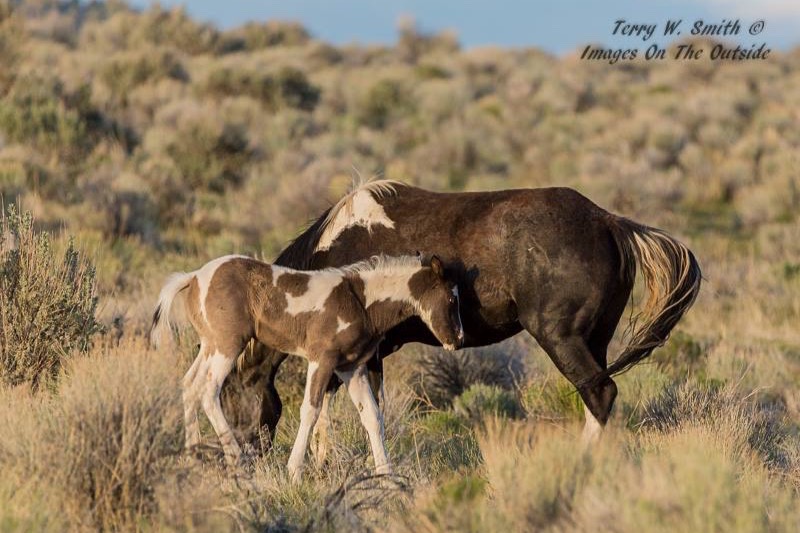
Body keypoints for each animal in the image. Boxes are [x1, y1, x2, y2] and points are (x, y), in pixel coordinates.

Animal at [149, 253, 464, 480]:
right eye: (451, 298)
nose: (457, 340)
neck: (360, 300)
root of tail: (193, 277)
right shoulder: (321, 359)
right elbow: (311, 411)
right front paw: (294, 471)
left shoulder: (352, 368)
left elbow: (372, 416)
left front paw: (387, 475)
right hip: (227, 346)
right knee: (208, 391)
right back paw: (236, 459)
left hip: (210, 345)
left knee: (189, 386)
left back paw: (193, 457)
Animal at [229, 179, 702, 449]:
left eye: (232, 398)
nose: (241, 459)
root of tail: (608, 221)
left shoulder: (359, 356)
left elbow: (345, 413)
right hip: (594, 340)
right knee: (596, 396)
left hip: (561, 338)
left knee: (600, 394)